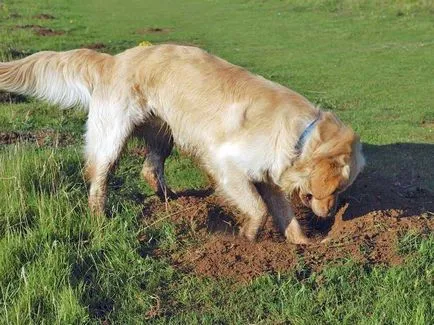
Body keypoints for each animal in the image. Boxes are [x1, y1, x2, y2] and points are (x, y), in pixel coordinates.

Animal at [0, 45, 364, 243]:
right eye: (334, 189)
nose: (330, 214)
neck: (301, 135)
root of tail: (114, 60)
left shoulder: (270, 178)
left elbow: (283, 213)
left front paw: (303, 244)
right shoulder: (226, 165)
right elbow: (259, 209)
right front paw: (248, 238)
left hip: (164, 134)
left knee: (149, 169)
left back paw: (171, 202)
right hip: (112, 136)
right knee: (98, 178)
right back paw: (99, 218)